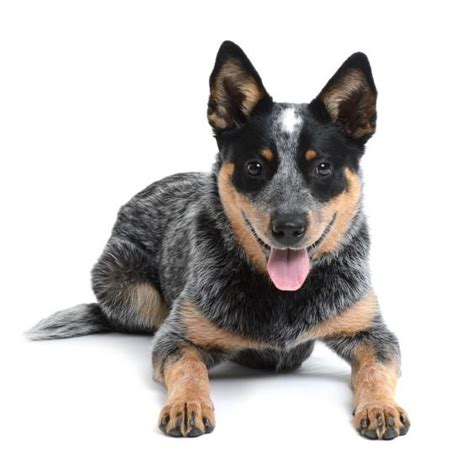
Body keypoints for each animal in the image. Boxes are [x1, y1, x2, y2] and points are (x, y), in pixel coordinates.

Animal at [27, 40, 410, 440]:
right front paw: (187, 404)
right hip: (131, 291)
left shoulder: (371, 332)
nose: (288, 227)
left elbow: (376, 368)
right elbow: (188, 368)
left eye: (322, 167)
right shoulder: (176, 338)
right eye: (255, 166)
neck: (283, 297)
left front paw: (381, 407)